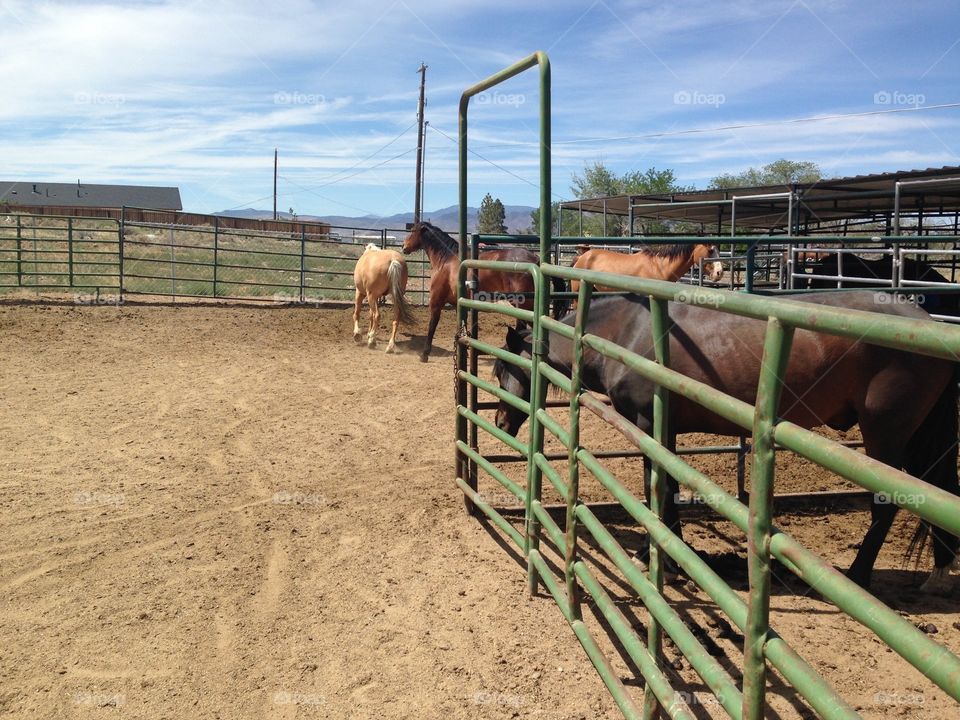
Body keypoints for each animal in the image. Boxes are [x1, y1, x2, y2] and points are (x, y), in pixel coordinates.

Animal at [402, 219, 568, 362]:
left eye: (412, 231)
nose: (404, 247)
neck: (447, 260)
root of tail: (536, 259)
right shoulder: (458, 304)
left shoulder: (436, 301)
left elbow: (432, 326)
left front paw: (424, 354)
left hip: (523, 304)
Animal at [496, 292, 960, 592]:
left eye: (503, 368)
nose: (500, 418)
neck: (628, 332)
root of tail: (927, 324)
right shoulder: (664, 431)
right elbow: (668, 488)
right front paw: (670, 554)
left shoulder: (649, 422)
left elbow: (657, 488)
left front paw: (664, 558)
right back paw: (938, 575)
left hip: (886, 435)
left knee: (887, 505)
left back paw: (858, 577)